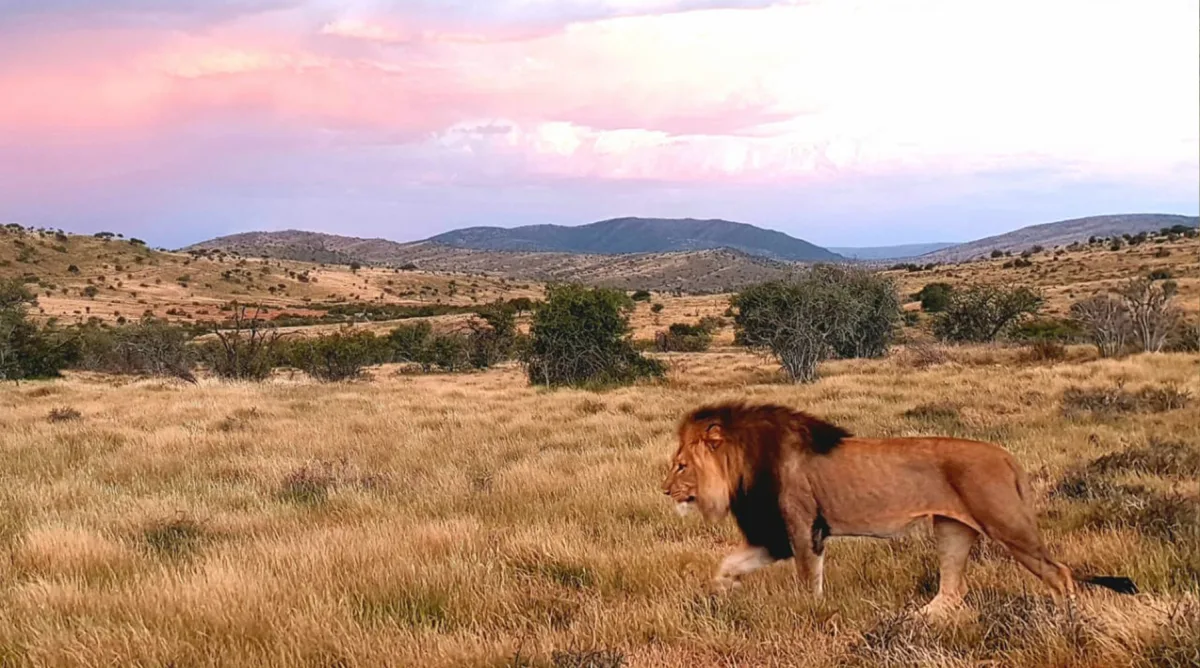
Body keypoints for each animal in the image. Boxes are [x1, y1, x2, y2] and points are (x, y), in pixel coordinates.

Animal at [661, 401, 1136, 615]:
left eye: (681, 465)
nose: (664, 491)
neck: (743, 465)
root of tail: (1006, 456)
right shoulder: (774, 535)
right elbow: (727, 564)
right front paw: (720, 594)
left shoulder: (801, 528)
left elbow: (808, 580)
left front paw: (811, 613)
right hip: (952, 529)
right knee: (952, 589)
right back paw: (919, 620)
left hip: (1007, 525)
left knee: (1060, 573)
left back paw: (1067, 621)